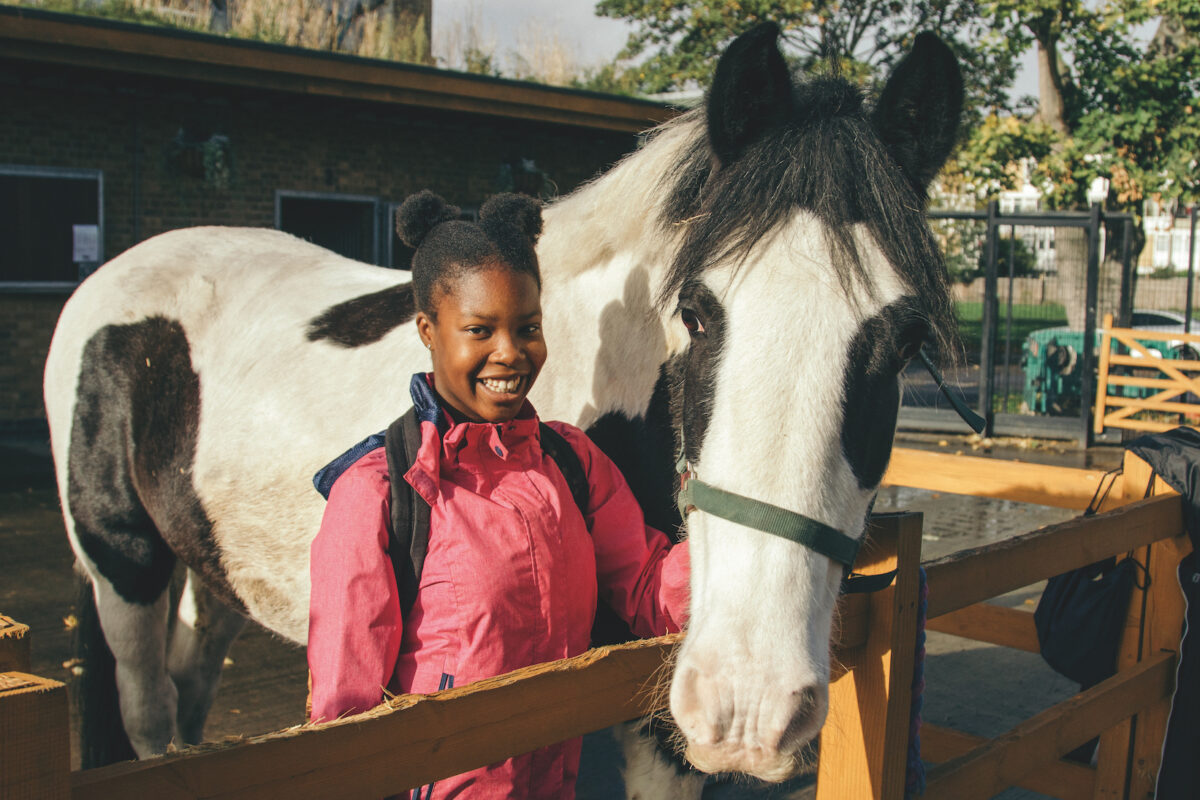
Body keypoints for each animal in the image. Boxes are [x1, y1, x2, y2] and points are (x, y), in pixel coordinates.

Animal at [46, 25, 960, 796]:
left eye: (907, 339)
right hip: (121, 564)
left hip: (213, 568)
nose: (749, 701)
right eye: (697, 313)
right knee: (149, 712)